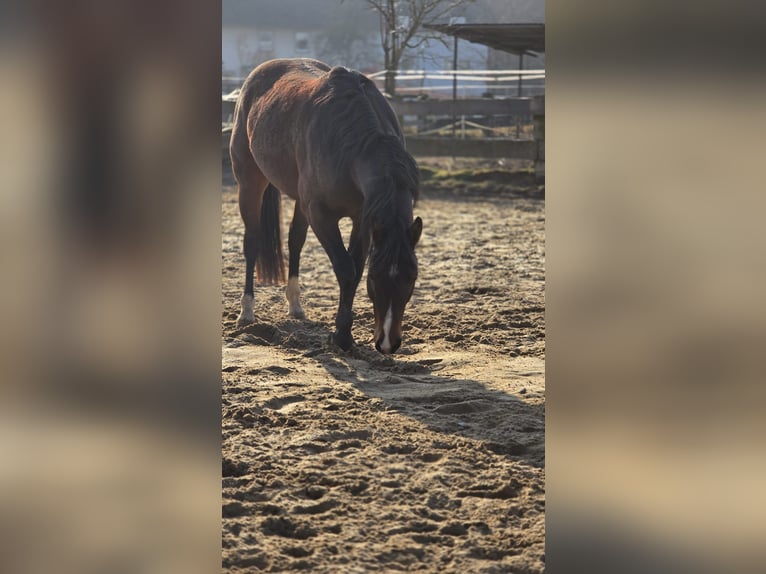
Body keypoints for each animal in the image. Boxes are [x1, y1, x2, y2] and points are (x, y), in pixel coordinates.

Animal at [231, 58, 424, 356]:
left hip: (299, 200)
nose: (388, 343)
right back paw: (247, 311)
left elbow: (355, 267)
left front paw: (344, 333)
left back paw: (295, 305)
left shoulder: (362, 218)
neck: (354, 146)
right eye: (374, 281)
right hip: (250, 182)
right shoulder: (321, 215)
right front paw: (342, 336)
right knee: (252, 242)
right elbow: (345, 268)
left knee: (295, 240)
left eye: (411, 279)